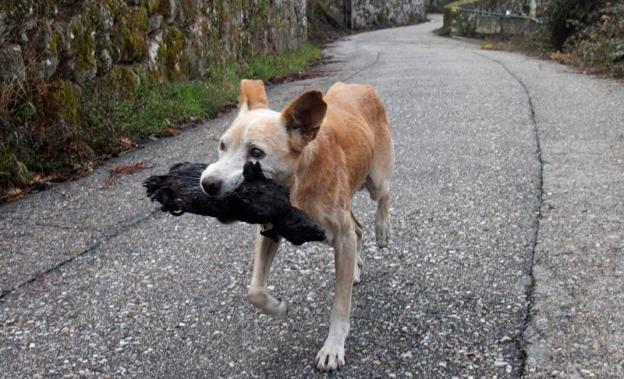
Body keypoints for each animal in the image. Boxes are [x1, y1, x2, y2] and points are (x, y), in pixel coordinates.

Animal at [201, 80, 394, 372]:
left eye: (256, 153)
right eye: (222, 146)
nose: (207, 184)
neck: (297, 183)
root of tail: (358, 85)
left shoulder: (342, 236)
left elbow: (340, 305)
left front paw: (333, 347)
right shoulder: (268, 230)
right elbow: (254, 291)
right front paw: (278, 308)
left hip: (376, 178)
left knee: (383, 196)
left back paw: (382, 229)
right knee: (358, 228)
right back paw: (355, 268)